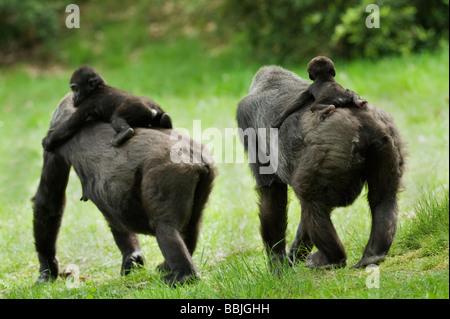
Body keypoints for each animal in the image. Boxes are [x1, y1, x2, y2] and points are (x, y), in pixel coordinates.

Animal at [41, 66, 172, 151]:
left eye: (76, 89)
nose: (73, 97)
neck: (98, 87)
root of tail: (151, 108)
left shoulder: (87, 103)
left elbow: (70, 125)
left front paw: (48, 141)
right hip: (154, 105)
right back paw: (165, 120)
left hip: (137, 108)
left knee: (116, 118)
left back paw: (125, 132)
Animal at [237, 66, 406, 274]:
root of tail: (362, 120)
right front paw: (292, 255)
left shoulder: (245, 115)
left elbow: (271, 193)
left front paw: (278, 262)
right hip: (387, 136)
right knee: (384, 197)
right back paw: (373, 254)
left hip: (331, 146)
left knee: (311, 203)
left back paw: (333, 259)